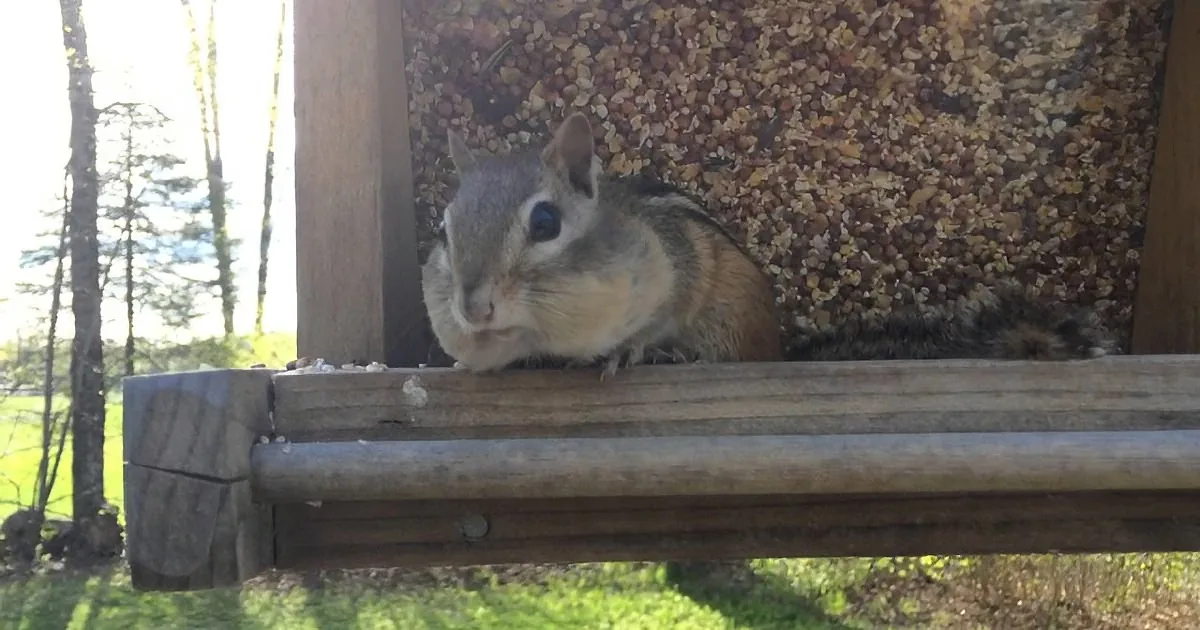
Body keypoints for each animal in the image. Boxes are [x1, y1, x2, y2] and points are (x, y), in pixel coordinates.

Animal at [420, 112, 784, 380]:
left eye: (545, 223)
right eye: (442, 231)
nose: (474, 310)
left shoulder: (678, 273)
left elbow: (657, 320)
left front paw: (627, 350)